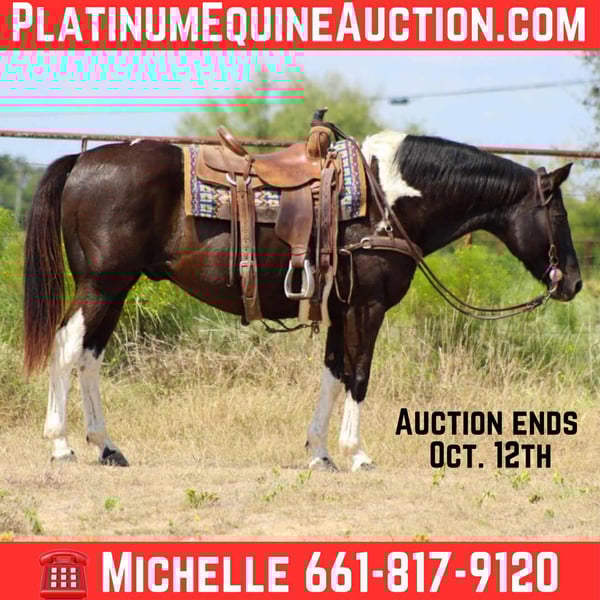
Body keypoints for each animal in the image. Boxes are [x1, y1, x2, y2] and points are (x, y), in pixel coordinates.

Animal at [23, 130, 582, 471]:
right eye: (558, 216)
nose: (573, 282)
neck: (386, 202)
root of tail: (82, 159)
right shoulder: (367, 307)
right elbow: (359, 375)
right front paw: (357, 454)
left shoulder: (340, 309)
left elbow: (333, 374)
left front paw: (320, 453)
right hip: (100, 284)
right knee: (67, 348)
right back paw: (60, 444)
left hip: (114, 288)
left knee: (90, 356)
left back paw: (107, 446)